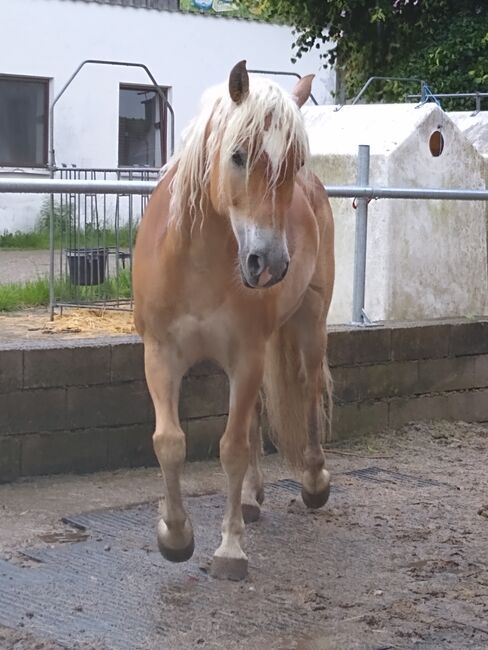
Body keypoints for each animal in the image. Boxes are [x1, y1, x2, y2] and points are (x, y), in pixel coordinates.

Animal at [133, 59, 336, 576]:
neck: (199, 263)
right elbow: (169, 442)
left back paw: (313, 482)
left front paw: (229, 549)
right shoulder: (160, 356)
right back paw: (249, 499)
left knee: (307, 392)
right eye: (238, 156)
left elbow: (232, 448)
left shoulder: (245, 357)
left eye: (295, 163)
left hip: (309, 325)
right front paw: (175, 536)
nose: (270, 264)